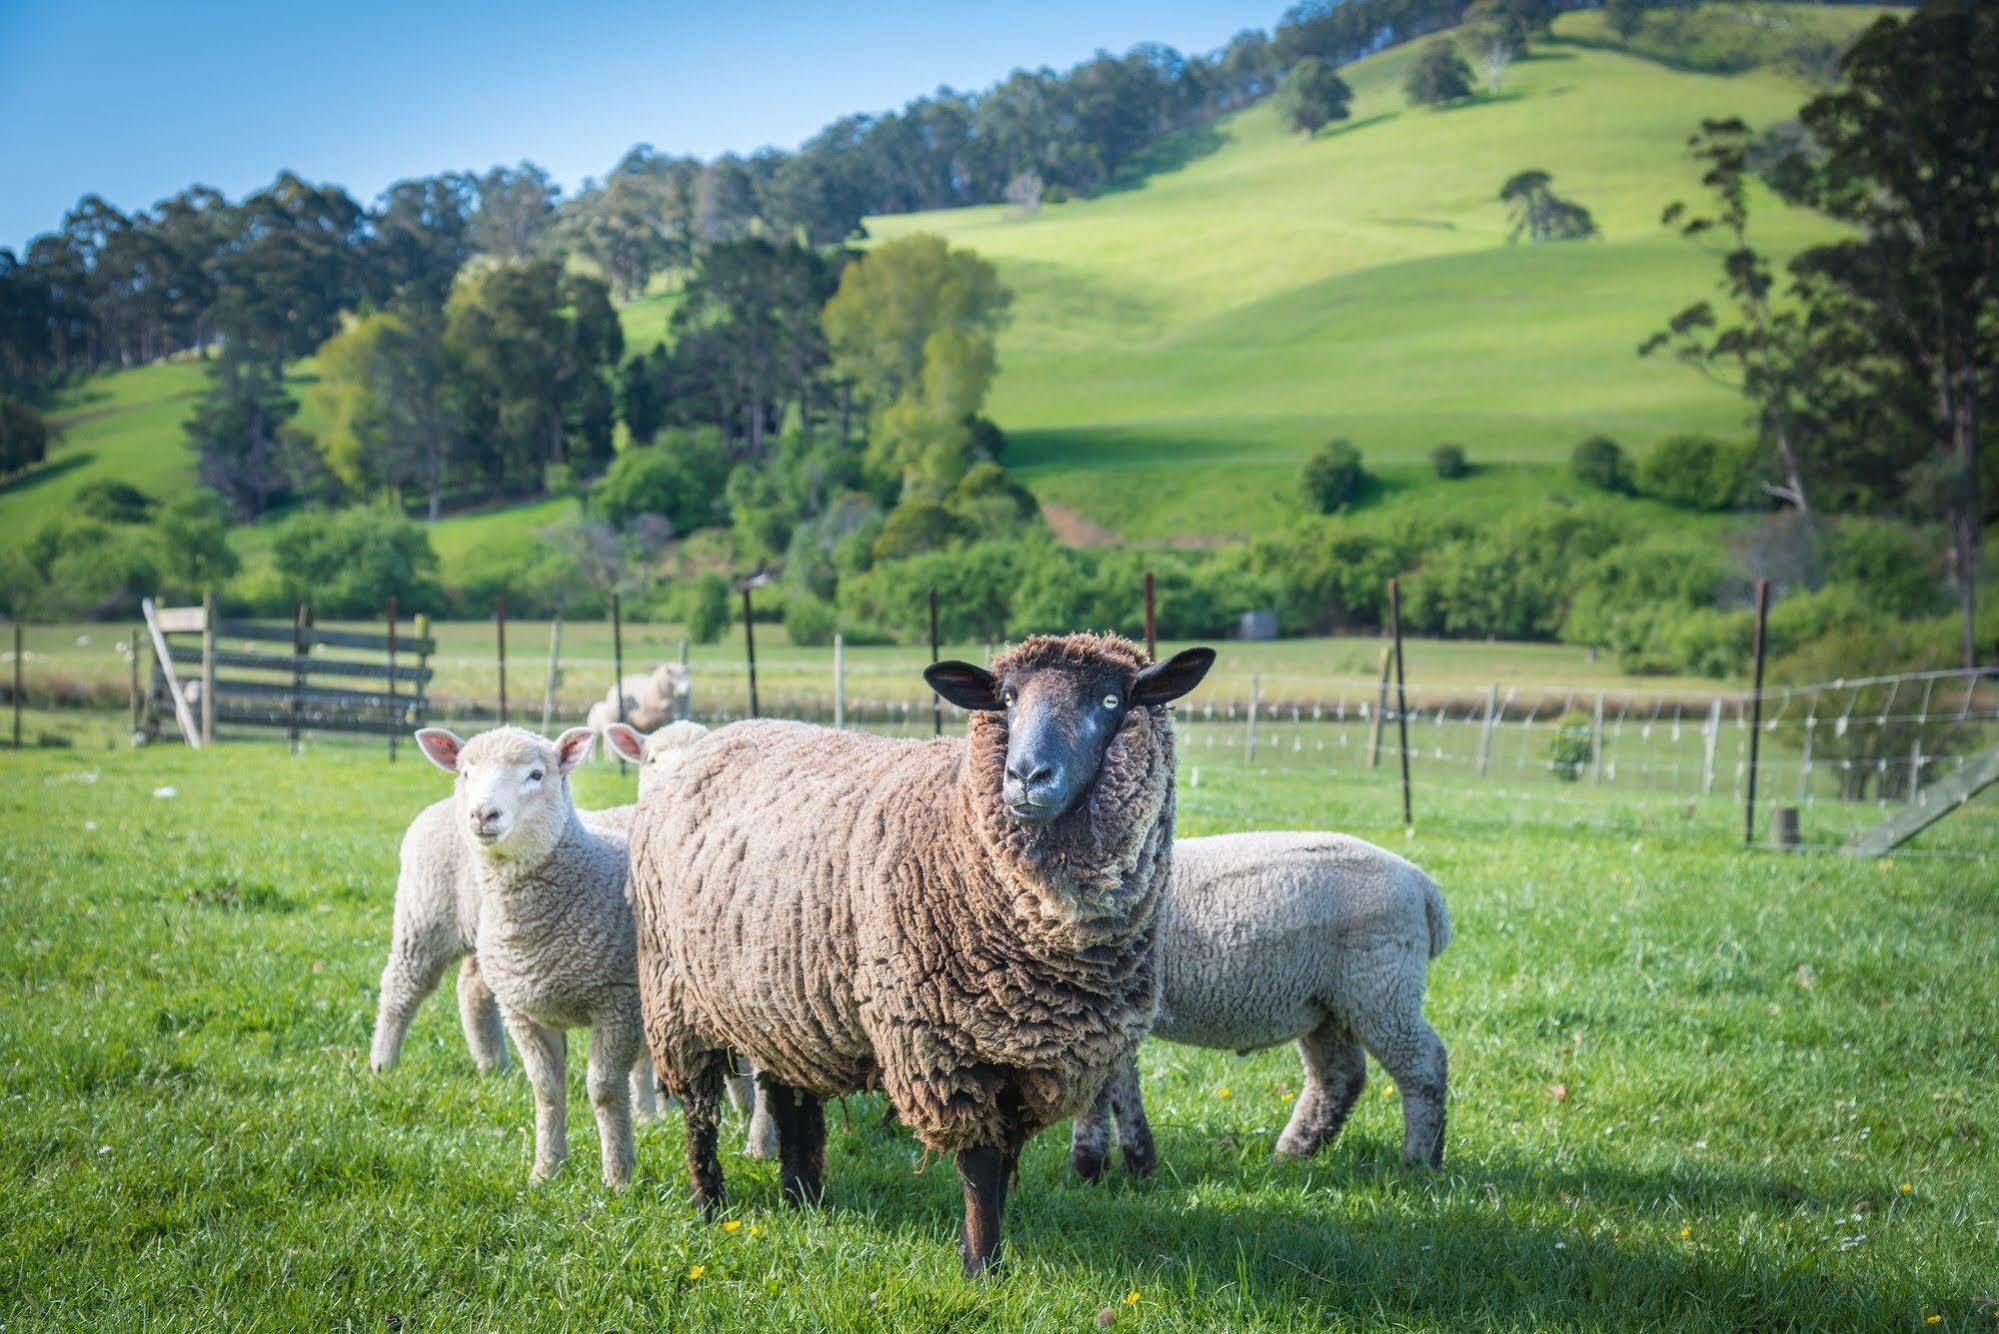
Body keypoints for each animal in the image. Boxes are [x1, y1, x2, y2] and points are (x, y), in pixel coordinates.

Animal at [409, 732, 651, 1192]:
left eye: (536, 775)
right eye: (465, 772)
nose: (483, 813)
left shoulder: (619, 1001)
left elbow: (605, 1090)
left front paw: (618, 1178)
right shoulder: (524, 1011)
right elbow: (546, 1090)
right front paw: (546, 1171)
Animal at [631, 636, 1207, 1280]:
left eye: (1111, 699)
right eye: (1008, 698)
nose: (1026, 776)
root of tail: (713, 741)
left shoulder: (1030, 1055)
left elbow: (1004, 1161)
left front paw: (985, 1252)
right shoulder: (942, 1046)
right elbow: (980, 1163)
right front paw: (982, 1267)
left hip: (783, 1005)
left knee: (790, 1097)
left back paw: (802, 1196)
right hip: (674, 993)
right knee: (699, 1108)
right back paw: (708, 1202)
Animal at [1071, 836, 1447, 1176]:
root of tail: (1423, 886)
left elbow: (1100, 1088)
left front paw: (1090, 1167)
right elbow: (1117, 1083)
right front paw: (1136, 1161)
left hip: (1381, 985)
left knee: (1423, 1064)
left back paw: (1420, 1160)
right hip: (1328, 1005)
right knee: (1337, 1075)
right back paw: (1293, 1153)